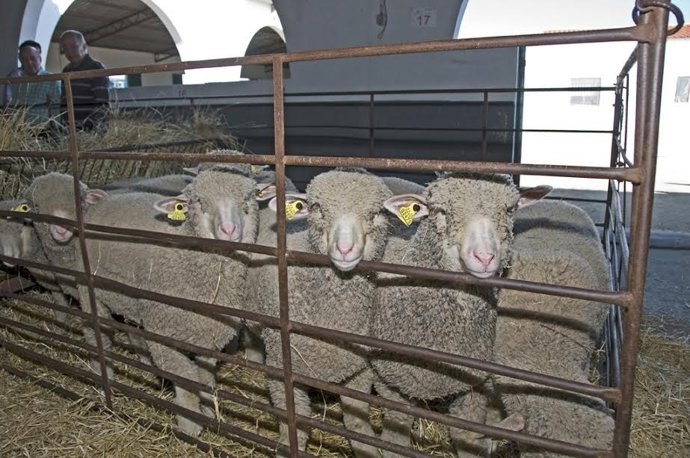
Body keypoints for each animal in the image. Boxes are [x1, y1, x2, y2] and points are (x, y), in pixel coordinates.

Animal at [254, 168, 393, 457]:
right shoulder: (280, 369)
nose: (344, 250)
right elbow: (293, 427)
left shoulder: (358, 371)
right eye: (317, 208)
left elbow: (356, 422)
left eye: (377, 213)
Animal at [371, 174, 551, 457]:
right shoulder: (391, 383)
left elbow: (468, 436)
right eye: (442, 211)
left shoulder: (472, 387)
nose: (485, 257)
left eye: (509, 210)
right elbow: (392, 439)